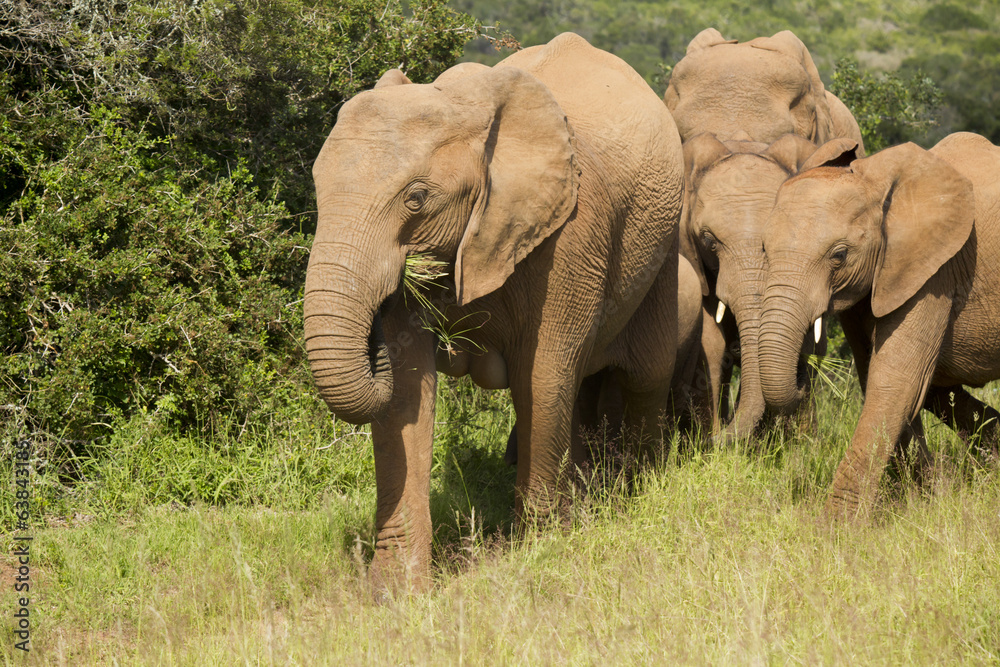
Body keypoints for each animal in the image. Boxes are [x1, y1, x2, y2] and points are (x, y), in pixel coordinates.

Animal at [305, 33, 684, 591]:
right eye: (317, 187)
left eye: (416, 199)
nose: (372, 339)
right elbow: (407, 397)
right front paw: (395, 592)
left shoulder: (569, 233)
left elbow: (542, 377)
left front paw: (540, 552)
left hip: (666, 237)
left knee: (645, 371)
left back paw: (632, 492)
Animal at [758, 132, 1000, 518]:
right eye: (765, 250)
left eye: (839, 255)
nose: (802, 374)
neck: (874, 182)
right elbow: (881, 375)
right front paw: (928, 495)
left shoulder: (933, 270)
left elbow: (895, 380)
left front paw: (834, 526)